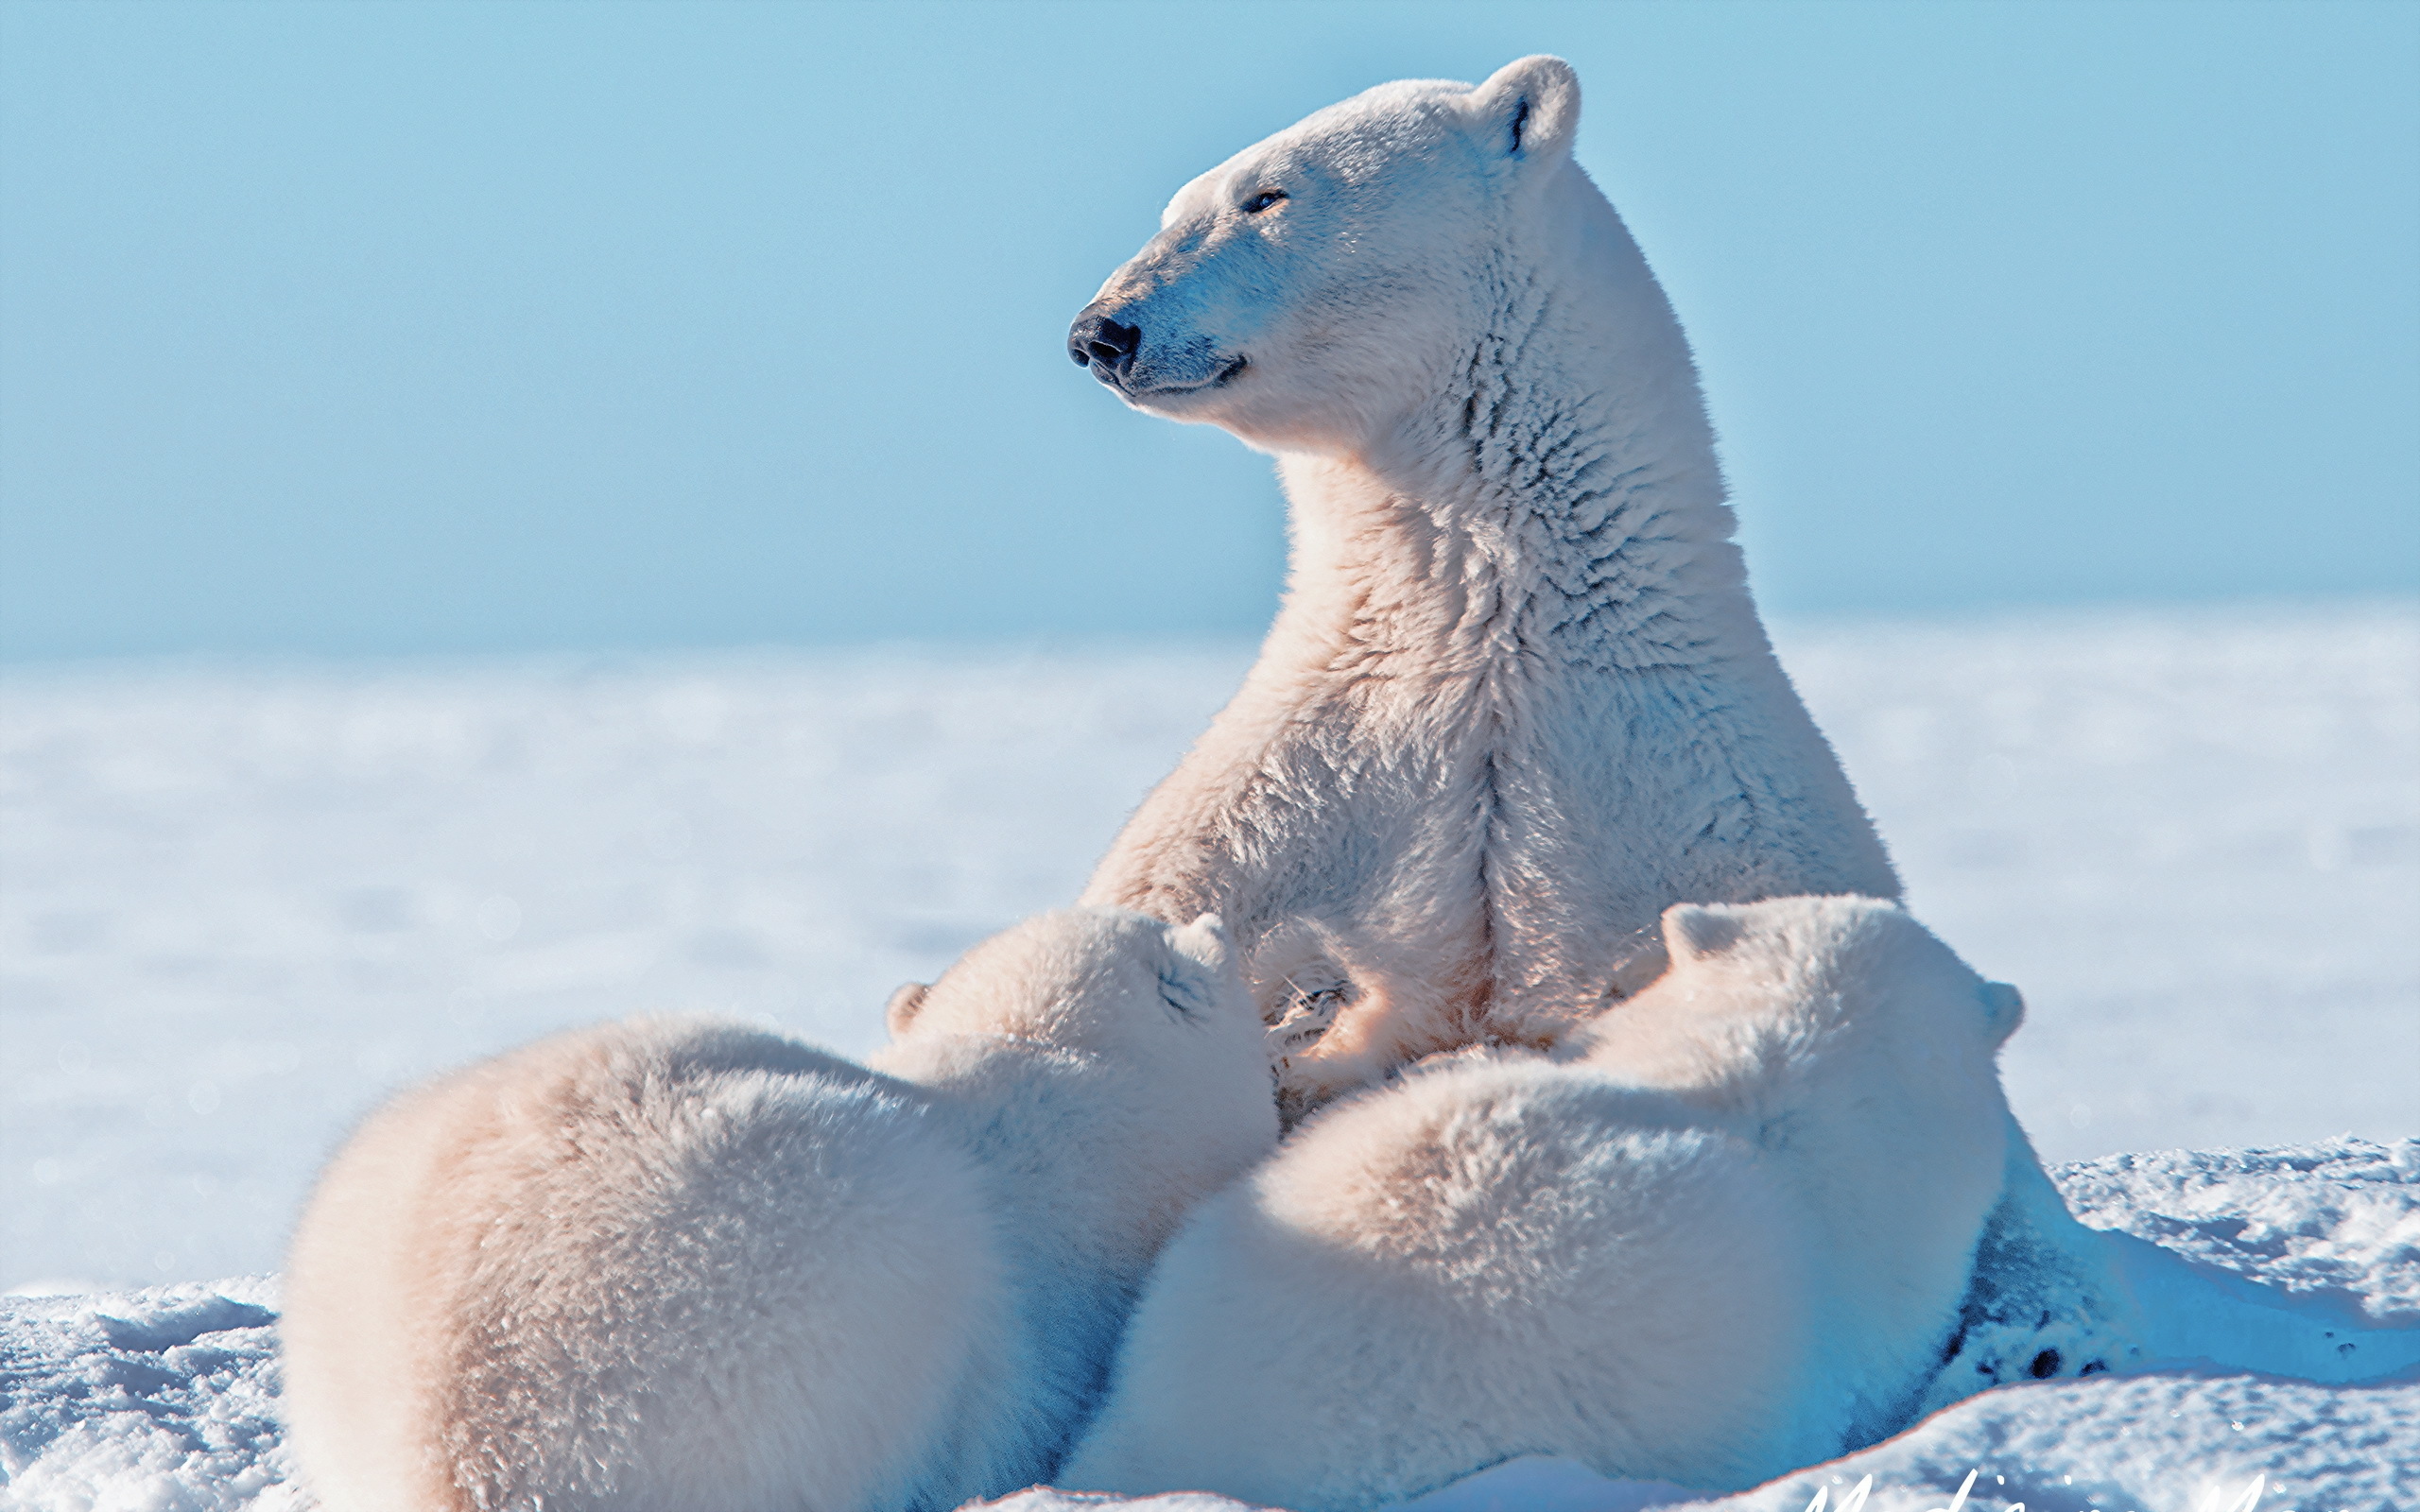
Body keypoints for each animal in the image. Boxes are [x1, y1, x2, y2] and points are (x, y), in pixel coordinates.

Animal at [1074, 59, 2139, 1393]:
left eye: (1265, 195)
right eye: (1179, 202)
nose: (1101, 330)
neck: (1504, 635)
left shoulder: (1702, 793)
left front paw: (2043, 1333)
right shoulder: (1316, 768)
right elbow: (1173, 910)